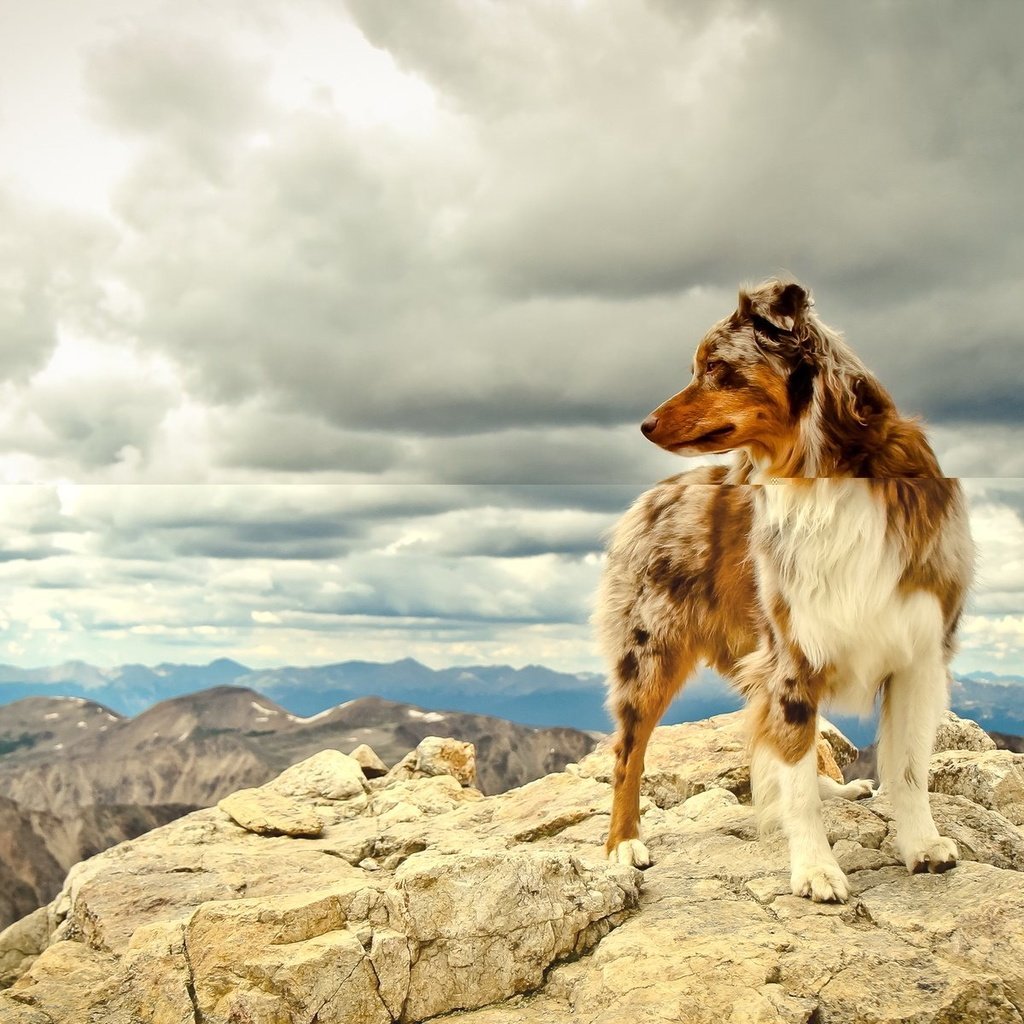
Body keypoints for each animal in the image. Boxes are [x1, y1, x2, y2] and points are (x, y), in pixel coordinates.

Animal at [598, 276, 970, 901]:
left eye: (715, 367)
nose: (644, 424)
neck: (824, 474)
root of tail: (651, 496)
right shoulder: (791, 656)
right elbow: (793, 776)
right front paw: (816, 869)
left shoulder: (917, 654)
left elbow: (908, 767)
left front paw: (921, 846)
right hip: (650, 654)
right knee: (629, 752)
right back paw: (622, 845)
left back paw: (838, 789)